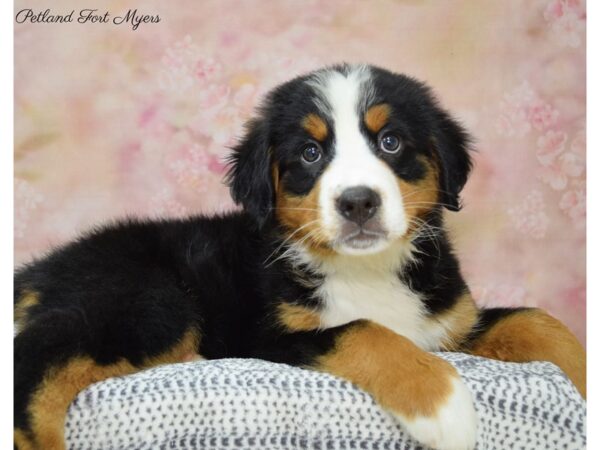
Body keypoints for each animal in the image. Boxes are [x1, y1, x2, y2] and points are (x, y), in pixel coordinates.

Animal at [14, 64, 584, 450]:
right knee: (35, 359)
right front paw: (443, 405)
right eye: (311, 153)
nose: (358, 202)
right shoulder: (264, 337)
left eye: (391, 142)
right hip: (150, 300)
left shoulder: (449, 322)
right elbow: (364, 331)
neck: (366, 269)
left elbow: (536, 319)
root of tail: (42, 270)